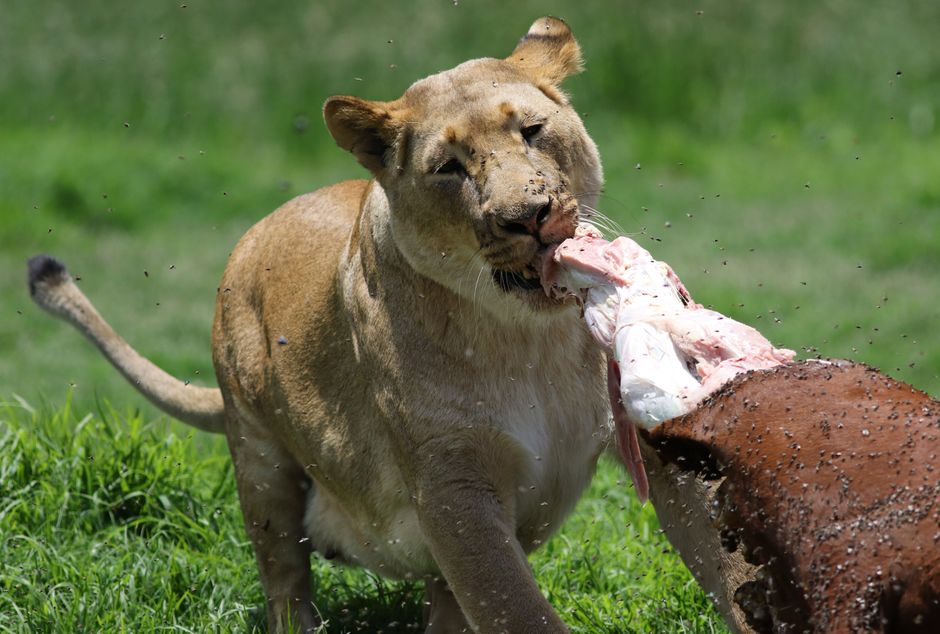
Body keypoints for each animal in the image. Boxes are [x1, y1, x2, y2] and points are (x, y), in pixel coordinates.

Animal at [29, 17, 613, 633]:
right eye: (448, 168)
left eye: (532, 130)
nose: (528, 217)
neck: (530, 340)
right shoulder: (453, 481)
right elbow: (513, 602)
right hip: (259, 457)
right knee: (284, 573)